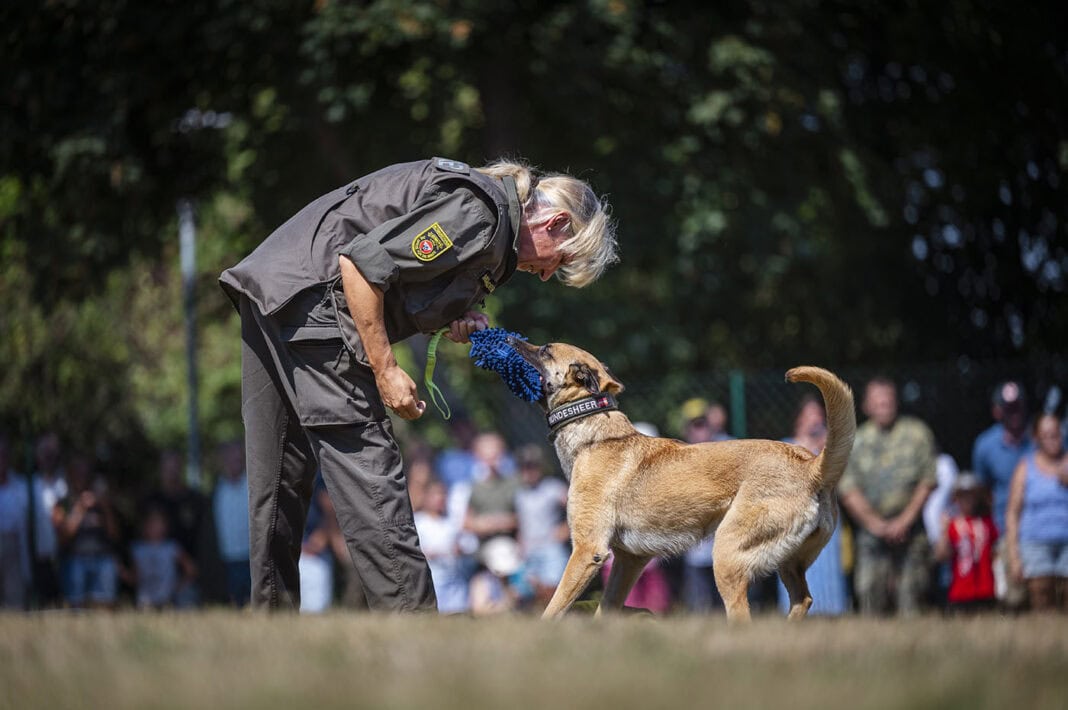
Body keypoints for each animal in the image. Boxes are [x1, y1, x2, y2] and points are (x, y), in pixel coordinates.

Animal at [510, 337, 858, 619]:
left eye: (545, 350)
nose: (511, 339)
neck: (593, 432)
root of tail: (813, 467)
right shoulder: (629, 560)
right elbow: (605, 609)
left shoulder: (587, 550)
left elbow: (554, 607)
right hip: (788, 563)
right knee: (803, 599)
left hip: (727, 555)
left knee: (742, 613)